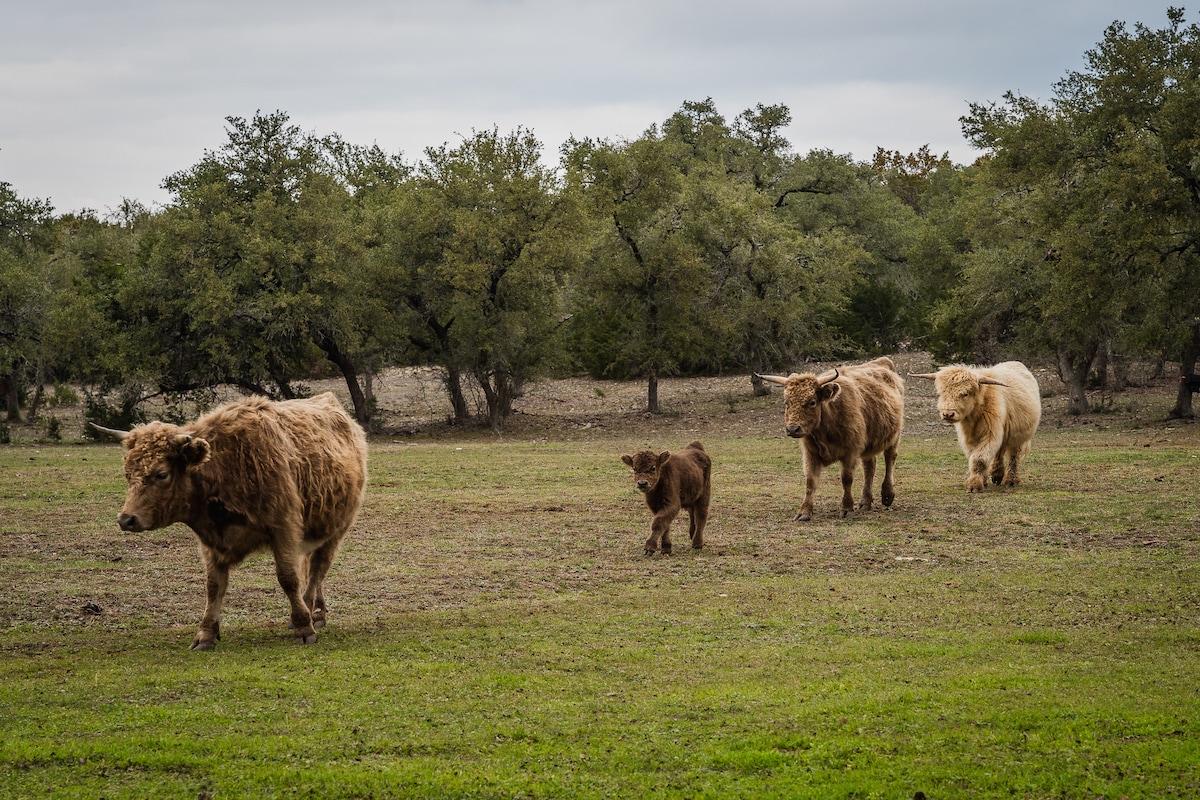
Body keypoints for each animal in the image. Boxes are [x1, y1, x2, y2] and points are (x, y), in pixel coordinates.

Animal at [93, 393, 368, 650]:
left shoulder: (284, 529)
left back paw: (314, 612)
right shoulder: (211, 543)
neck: (226, 466)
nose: (126, 519)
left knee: (317, 570)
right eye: (128, 473)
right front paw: (205, 635)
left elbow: (288, 578)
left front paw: (304, 627)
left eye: (161, 474)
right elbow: (214, 586)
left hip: (335, 531)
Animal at [756, 357, 905, 521]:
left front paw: (847, 508)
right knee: (869, 467)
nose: (793, 429)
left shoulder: (851, 452)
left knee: (889, 458)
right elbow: (810, 481)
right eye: (787, 402)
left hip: (894, 436)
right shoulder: (811, 454)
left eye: (812, 402)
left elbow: (846, 479)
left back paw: (887, 495)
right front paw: (804, 511)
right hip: (868, 445)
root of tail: (882, 361)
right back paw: (865, 502)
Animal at [909, 361, 1041, 492]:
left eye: (965, 393)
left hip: (1018, 437)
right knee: (1000, 452)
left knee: (1014, 456)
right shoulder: (969, 439)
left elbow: (979, 459)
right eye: (941, 393)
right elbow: (974, 457)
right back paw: (997, 475)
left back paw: (1011, 481)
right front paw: (983, 480)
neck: (975, 414)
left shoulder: (991, 433)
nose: (948, 414)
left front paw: (974, 485)